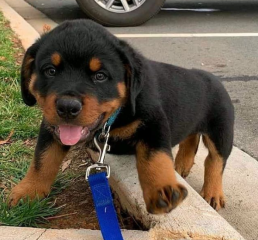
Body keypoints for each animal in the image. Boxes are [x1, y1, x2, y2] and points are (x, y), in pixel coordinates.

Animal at [9, 19, 234, 214]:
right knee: (191, 138)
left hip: (221, 131)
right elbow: (43, 158)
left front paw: (161, 189)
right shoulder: (51, 127)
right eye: (50, 71)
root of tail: (214, 78)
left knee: (215, 161)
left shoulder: (154, 123)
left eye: (100, 76)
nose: (67, 107)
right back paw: (182, 164)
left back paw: (213, 193)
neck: (112, 120)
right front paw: (28, 191)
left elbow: (155, 157)